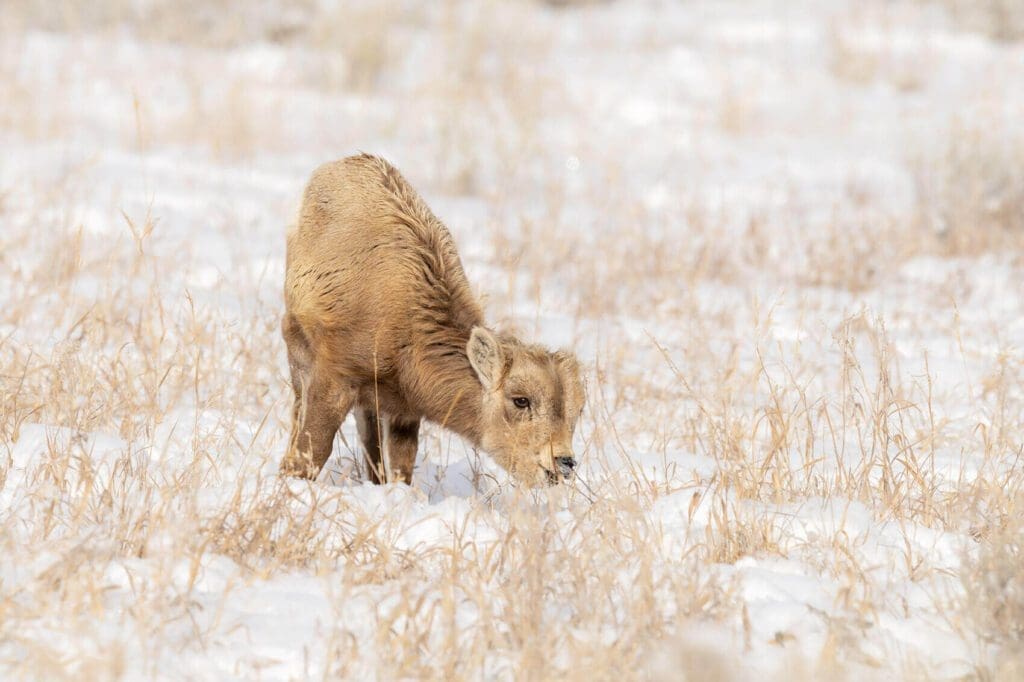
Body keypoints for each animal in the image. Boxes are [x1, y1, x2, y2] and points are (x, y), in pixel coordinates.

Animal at [280, 153, 585, 483]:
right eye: (520, 399)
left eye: (578, 410)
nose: (563, 462)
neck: (407, 337)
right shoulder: (334, 380)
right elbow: (310, 455)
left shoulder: (403, 412)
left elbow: (400, 467)